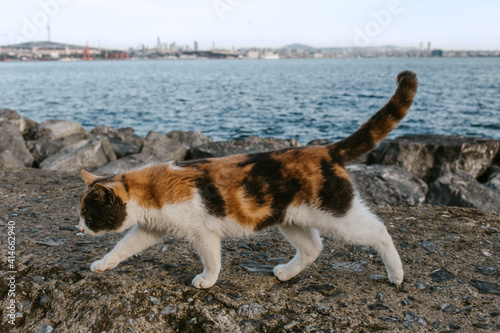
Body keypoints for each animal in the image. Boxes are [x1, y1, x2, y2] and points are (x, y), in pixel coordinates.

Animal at [77, 69, 414, 288]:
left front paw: (207, 280)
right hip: (290, 218)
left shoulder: (203, 232)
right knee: (313, 247)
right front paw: (103, 265)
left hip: (337, 215)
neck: (150, 190)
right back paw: (286, 273)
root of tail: (326, 150)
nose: (78, 229)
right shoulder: (151, 228)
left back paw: (396, 275)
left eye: (88, 216)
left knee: (379, 231)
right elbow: (122, 247)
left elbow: (212, 258)